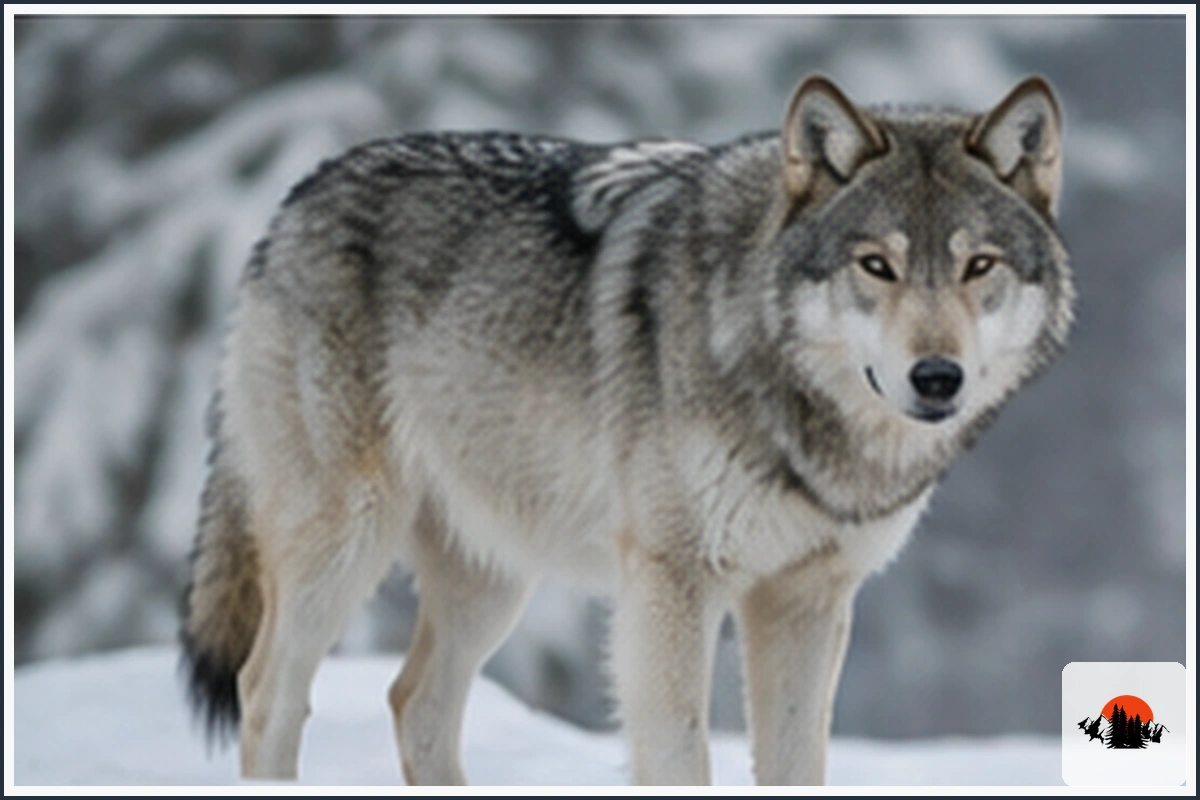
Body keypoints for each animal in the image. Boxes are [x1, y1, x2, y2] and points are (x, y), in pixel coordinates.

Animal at [181, 75, 1073, 785]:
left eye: (979, 266)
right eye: (876, 265)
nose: (937, 377)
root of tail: (299, 191)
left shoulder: (808, 599)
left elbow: (798, 763)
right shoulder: (673, 582)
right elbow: (681, 756)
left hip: (494, 577)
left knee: (415, 701)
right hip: (345, 542)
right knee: (266, 691)